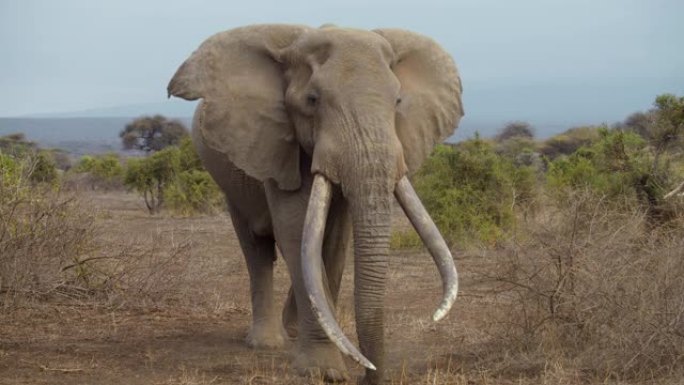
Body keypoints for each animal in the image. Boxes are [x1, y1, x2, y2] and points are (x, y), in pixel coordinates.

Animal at [168, 24, 462, 384]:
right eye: (312, 100)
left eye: (397, 101)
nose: (368, 372)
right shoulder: (278, 145)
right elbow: (296, 231)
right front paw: (325, 371)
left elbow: (333, 242)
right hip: (230, 176)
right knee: (256, 246)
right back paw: (267, 343)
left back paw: (293, 330)